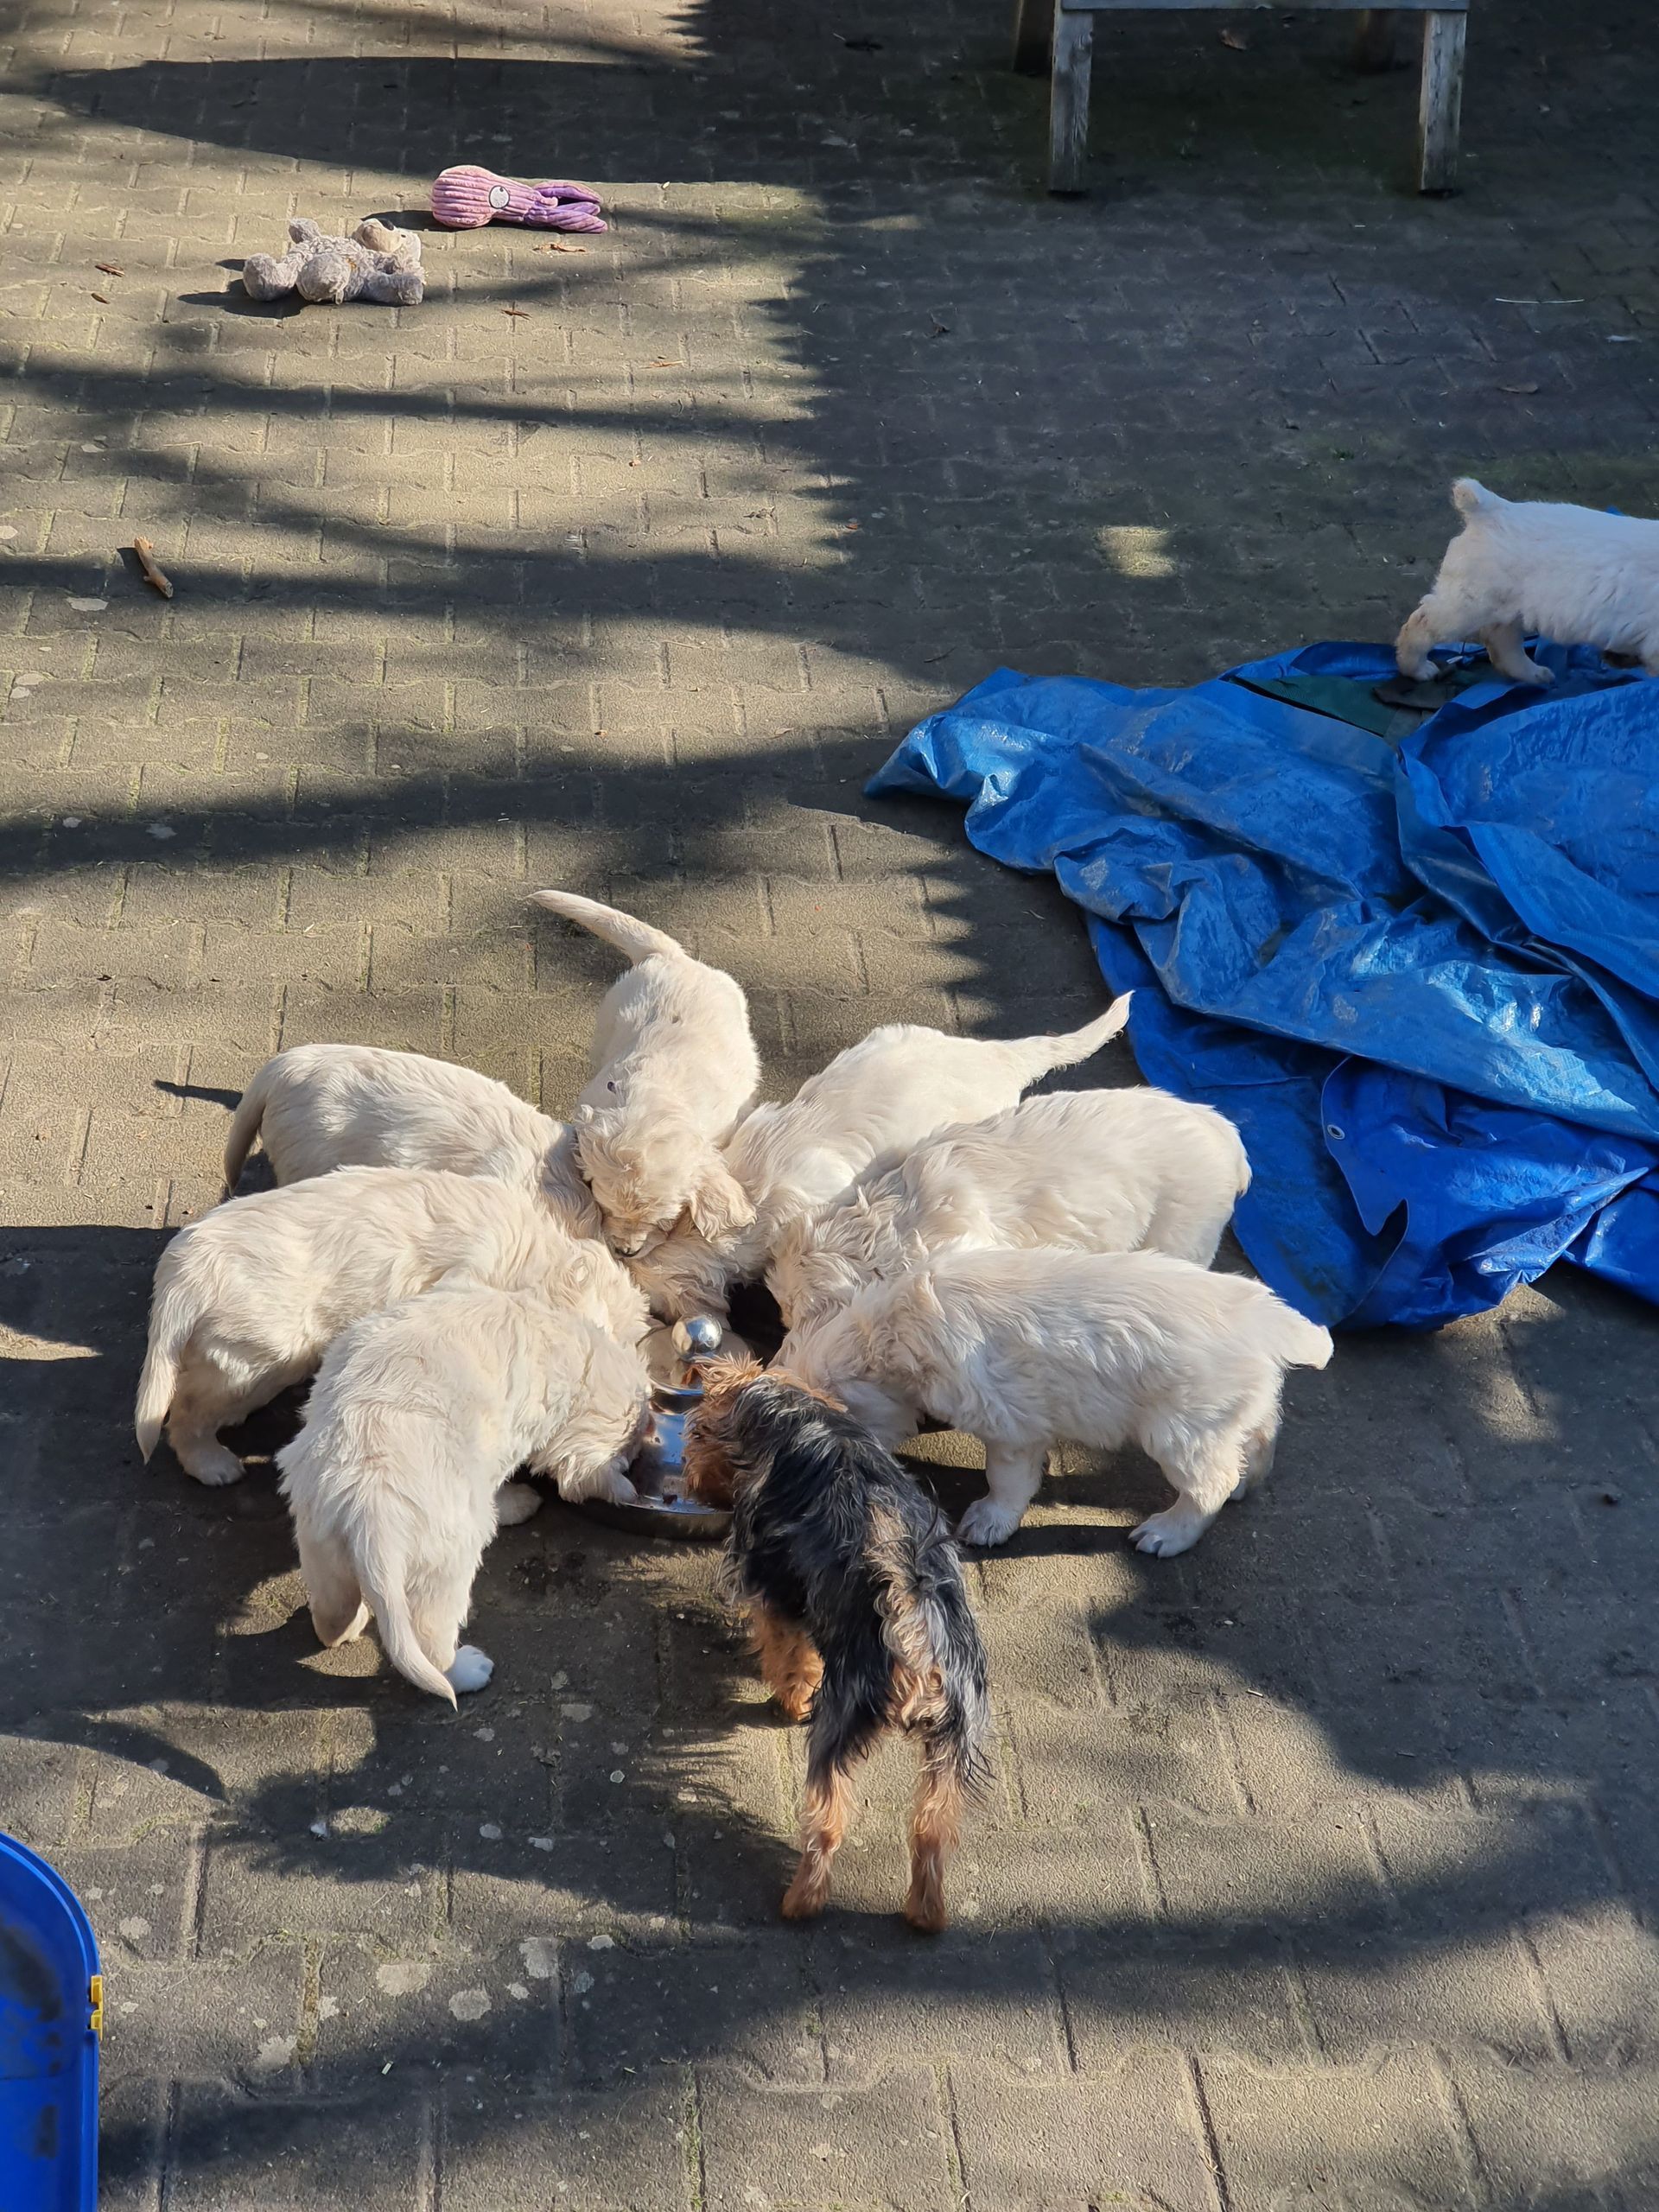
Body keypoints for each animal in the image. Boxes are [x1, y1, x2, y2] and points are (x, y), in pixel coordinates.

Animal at [279, 1284, 649, 1704]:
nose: (634, 1461)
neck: (575, 1351)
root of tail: (369, 1507)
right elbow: (498, 1485)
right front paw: (521, 1502)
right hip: (444, 1564)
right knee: (431, 1640)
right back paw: (467, 1670)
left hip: (319, 1535)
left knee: (332, 1609)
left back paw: (343, 1627)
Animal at [682, 1360, 989, 1932]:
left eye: (696, 1435)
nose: (690, 1479)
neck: (793, 1415)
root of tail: (915, 1630)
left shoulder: (778, 1588)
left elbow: (789, 1655)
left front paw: (789, 1700)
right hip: (954, 1740)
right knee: (931, 1829)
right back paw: (925, 1914)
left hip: (841, 1718)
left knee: (827, 1822)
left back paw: (800, 1901)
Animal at [777, 1247, 1333, 1555]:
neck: (895, 1326)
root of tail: (1267, 1318)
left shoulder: (1007, 1423)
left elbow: (1006, 1479)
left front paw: (989, 1521)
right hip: (1233, 1410)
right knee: (1259, 1440)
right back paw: (1246, 1482)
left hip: (1182, 1429)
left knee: (1208, 1485)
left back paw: (1167, 1534)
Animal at [1396, 478, 1659, 686]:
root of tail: (1492, 509)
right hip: (1471, 600)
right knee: (1424, 623)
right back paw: (1417, 668)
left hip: (1506, 603)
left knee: (1502, 641)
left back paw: (1535, 675)